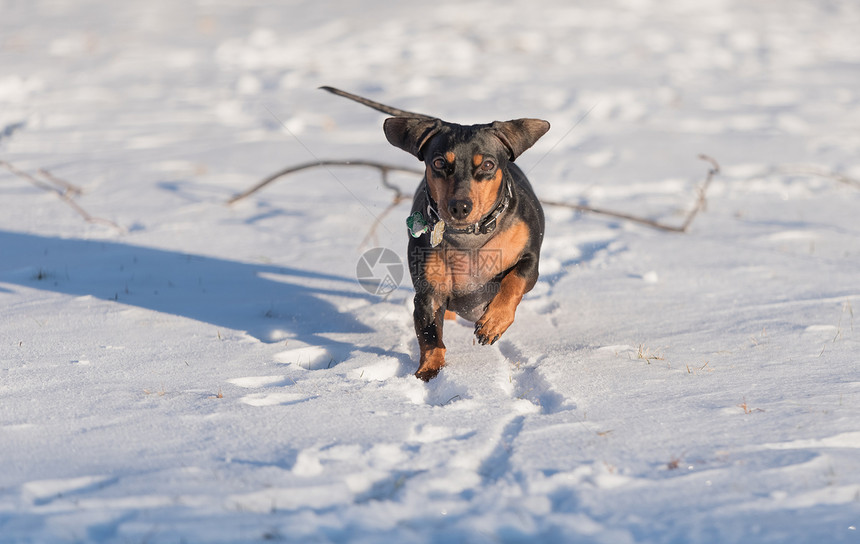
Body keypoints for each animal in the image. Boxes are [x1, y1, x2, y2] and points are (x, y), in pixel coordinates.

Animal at [322, 87, 552, 380]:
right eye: (440, 162)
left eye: (488, 165)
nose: (460, 206)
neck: (469, 238)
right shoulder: (428, 292)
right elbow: (430, 335)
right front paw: (429, 370)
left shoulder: (530, 261)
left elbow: (515, 281)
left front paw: (494, 322)